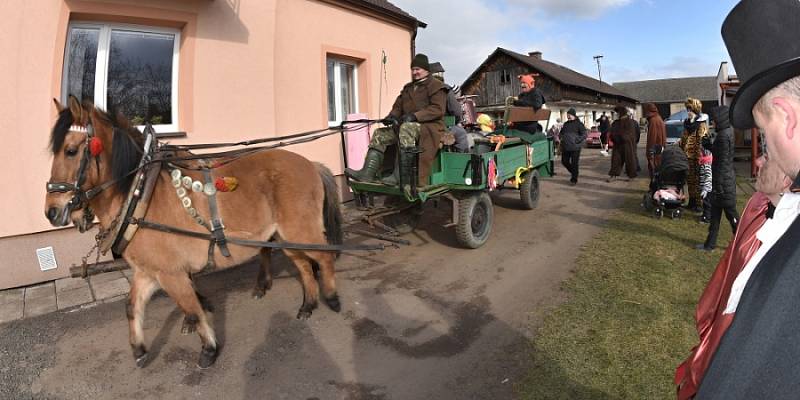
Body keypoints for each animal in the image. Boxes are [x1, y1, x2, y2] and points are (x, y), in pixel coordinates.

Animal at [44, 95, 344, 368]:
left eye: (70, 150)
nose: (51, 212)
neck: (139, 192)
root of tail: (312, 164)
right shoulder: (149, 272)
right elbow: (132, 306)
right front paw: (139, 349)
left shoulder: (171, 273)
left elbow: (192, 308)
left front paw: (209, 349)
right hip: (283, 236)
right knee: (304, 266)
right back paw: (308, 305)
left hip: (300, 229)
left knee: (325, 258)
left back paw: (331, 297)